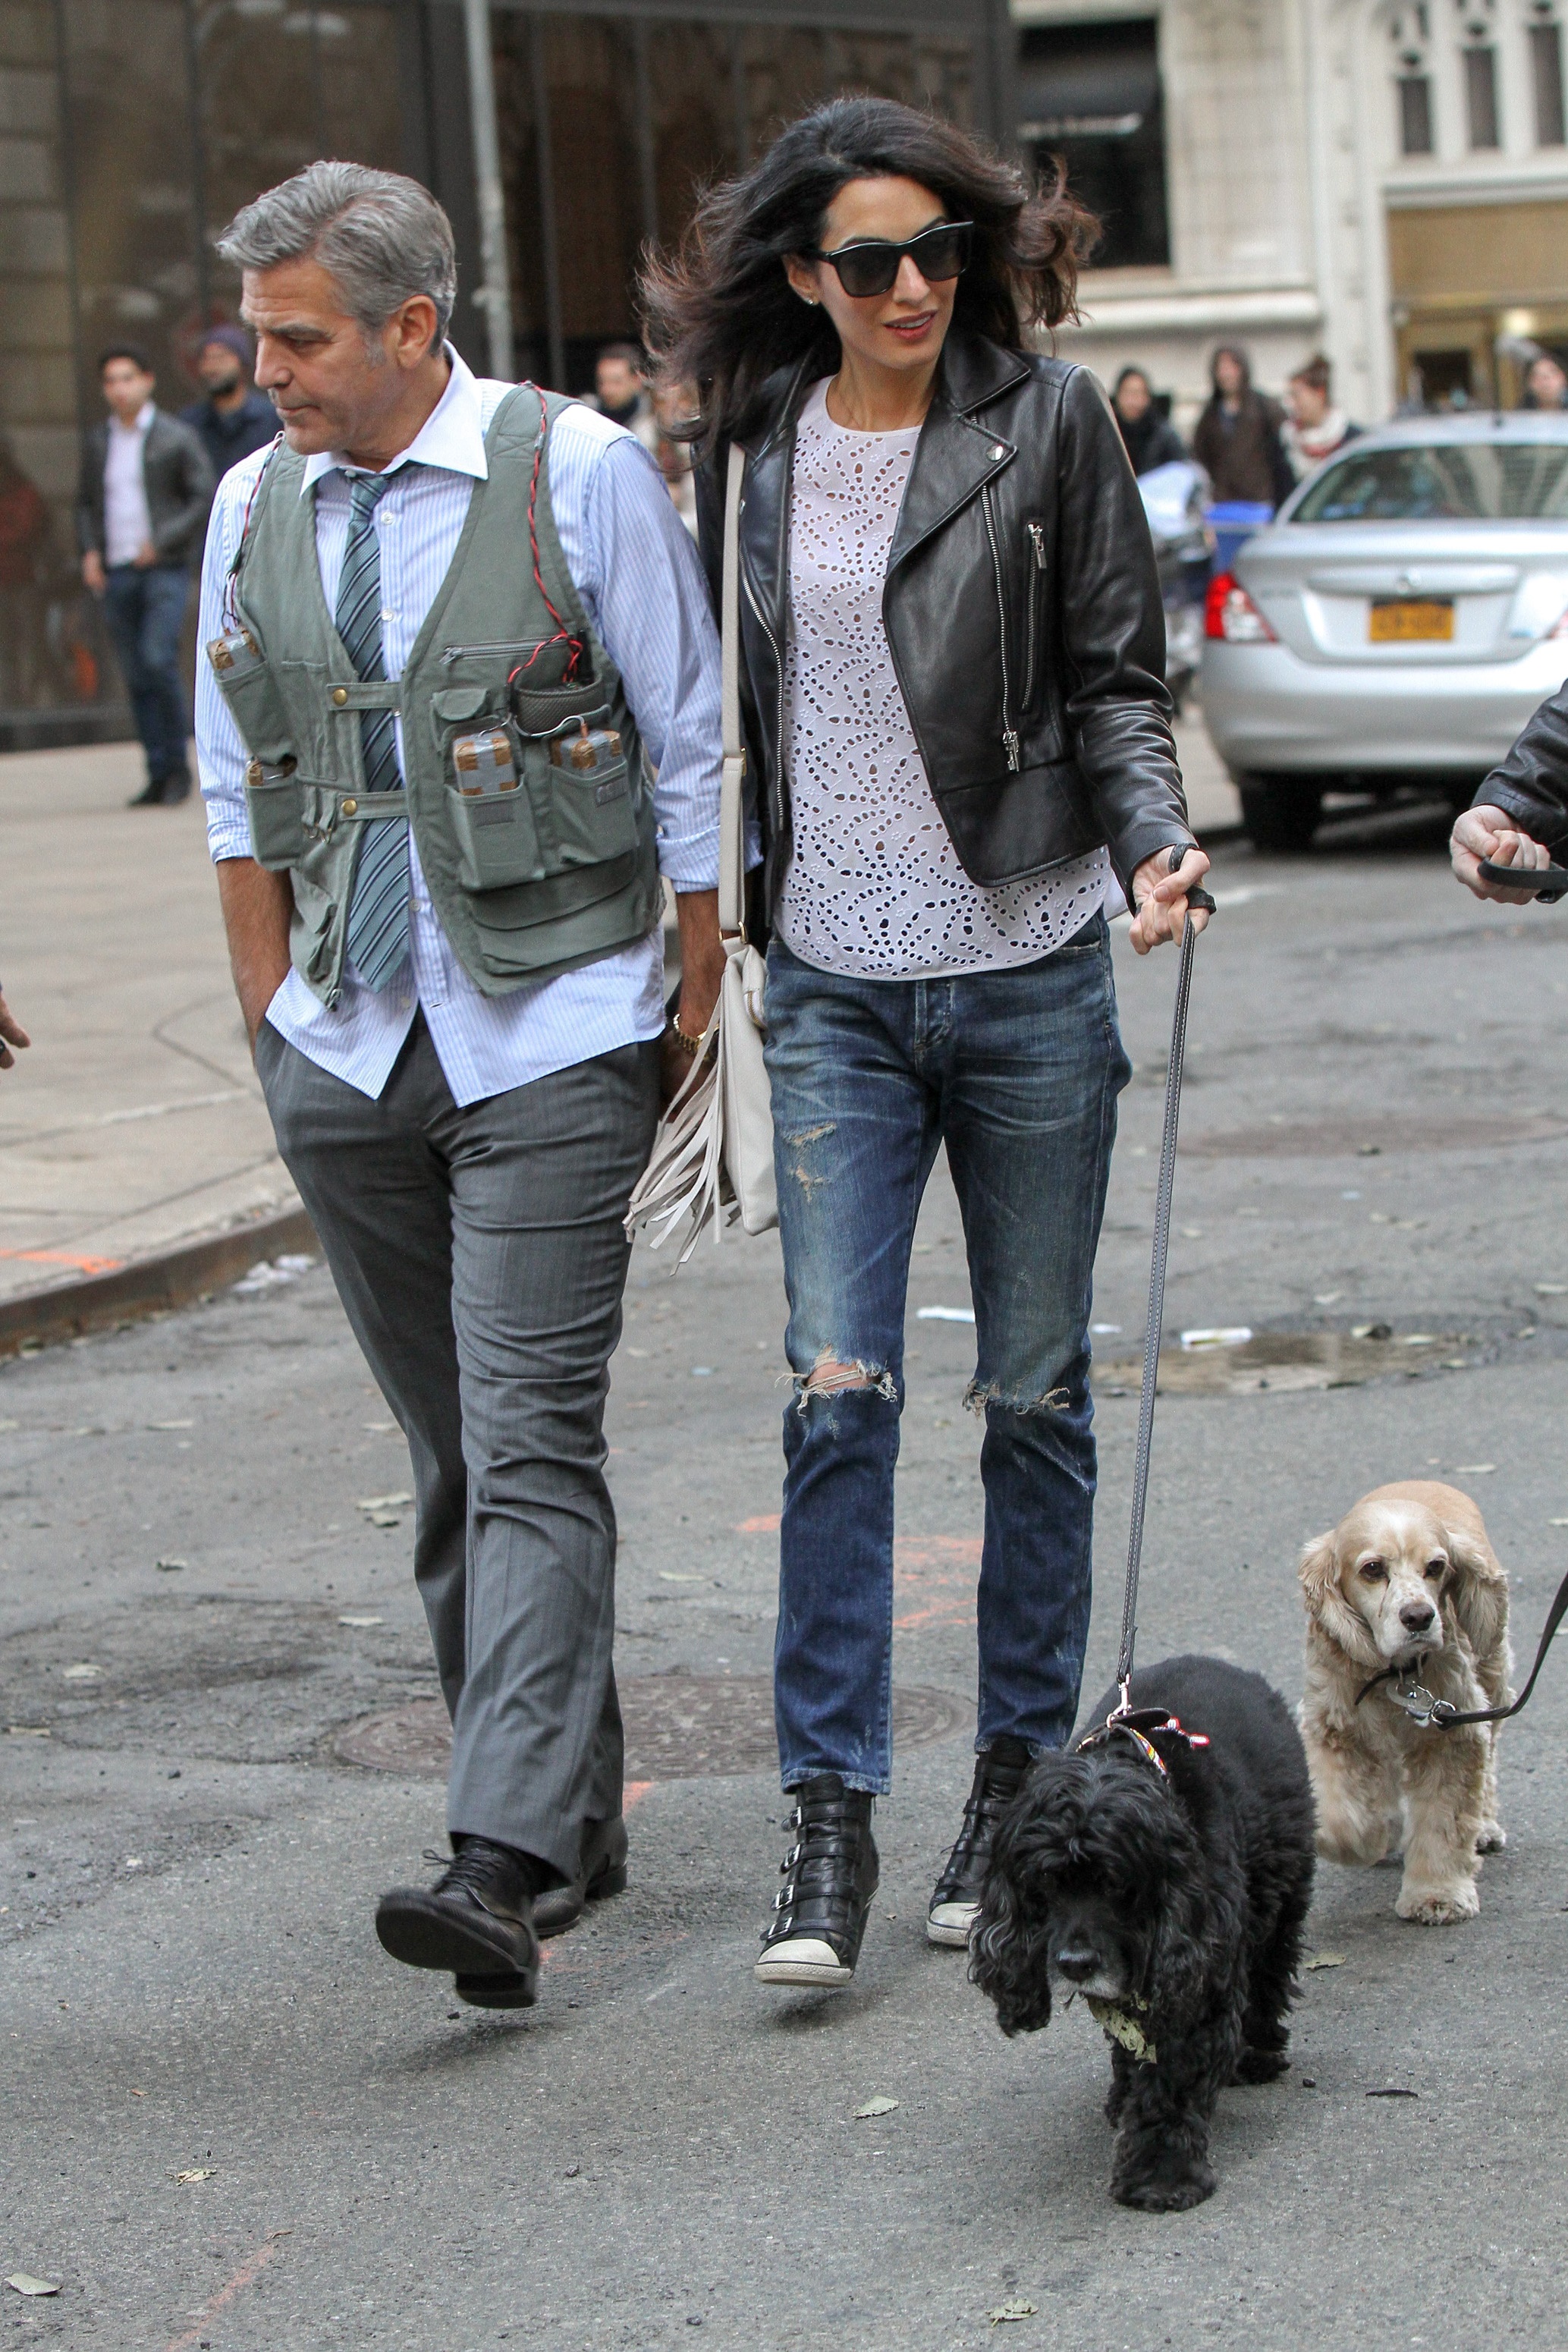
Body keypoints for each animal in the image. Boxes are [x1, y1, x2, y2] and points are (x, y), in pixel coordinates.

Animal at [973, 1646, 1316, 2211]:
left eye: (1115, 1884)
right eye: (1045, 1885)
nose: (1074, 1964)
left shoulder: (1198, 1967)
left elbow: (1172, 2081)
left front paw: (1161, 2174)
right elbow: (1131, 2040)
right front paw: (1127, 2097)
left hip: (1282, 1883)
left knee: (1271, 1967)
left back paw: (1258, 2052)